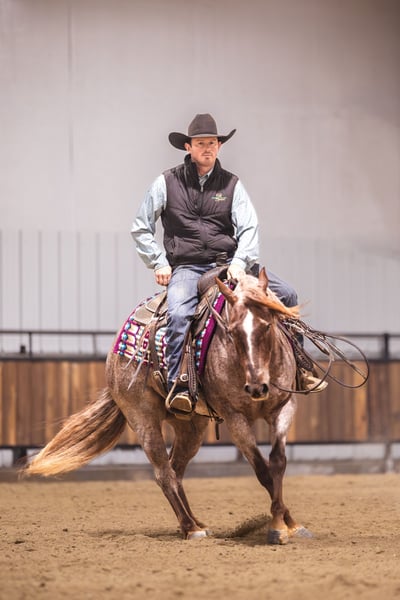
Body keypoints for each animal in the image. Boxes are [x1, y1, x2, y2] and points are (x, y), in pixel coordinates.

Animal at [23, 267, 311, 544]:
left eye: (267, 326)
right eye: (232, 331)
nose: (256, 388)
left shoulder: (284, 406)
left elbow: (278, 463)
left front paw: (291, 524)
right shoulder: (235, 417)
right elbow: (263, 471)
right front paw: (277, 528)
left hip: (191, 426)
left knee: (176, 468)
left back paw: (194, 523)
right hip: (143, 419)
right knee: (164, 473)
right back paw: (191, 529)